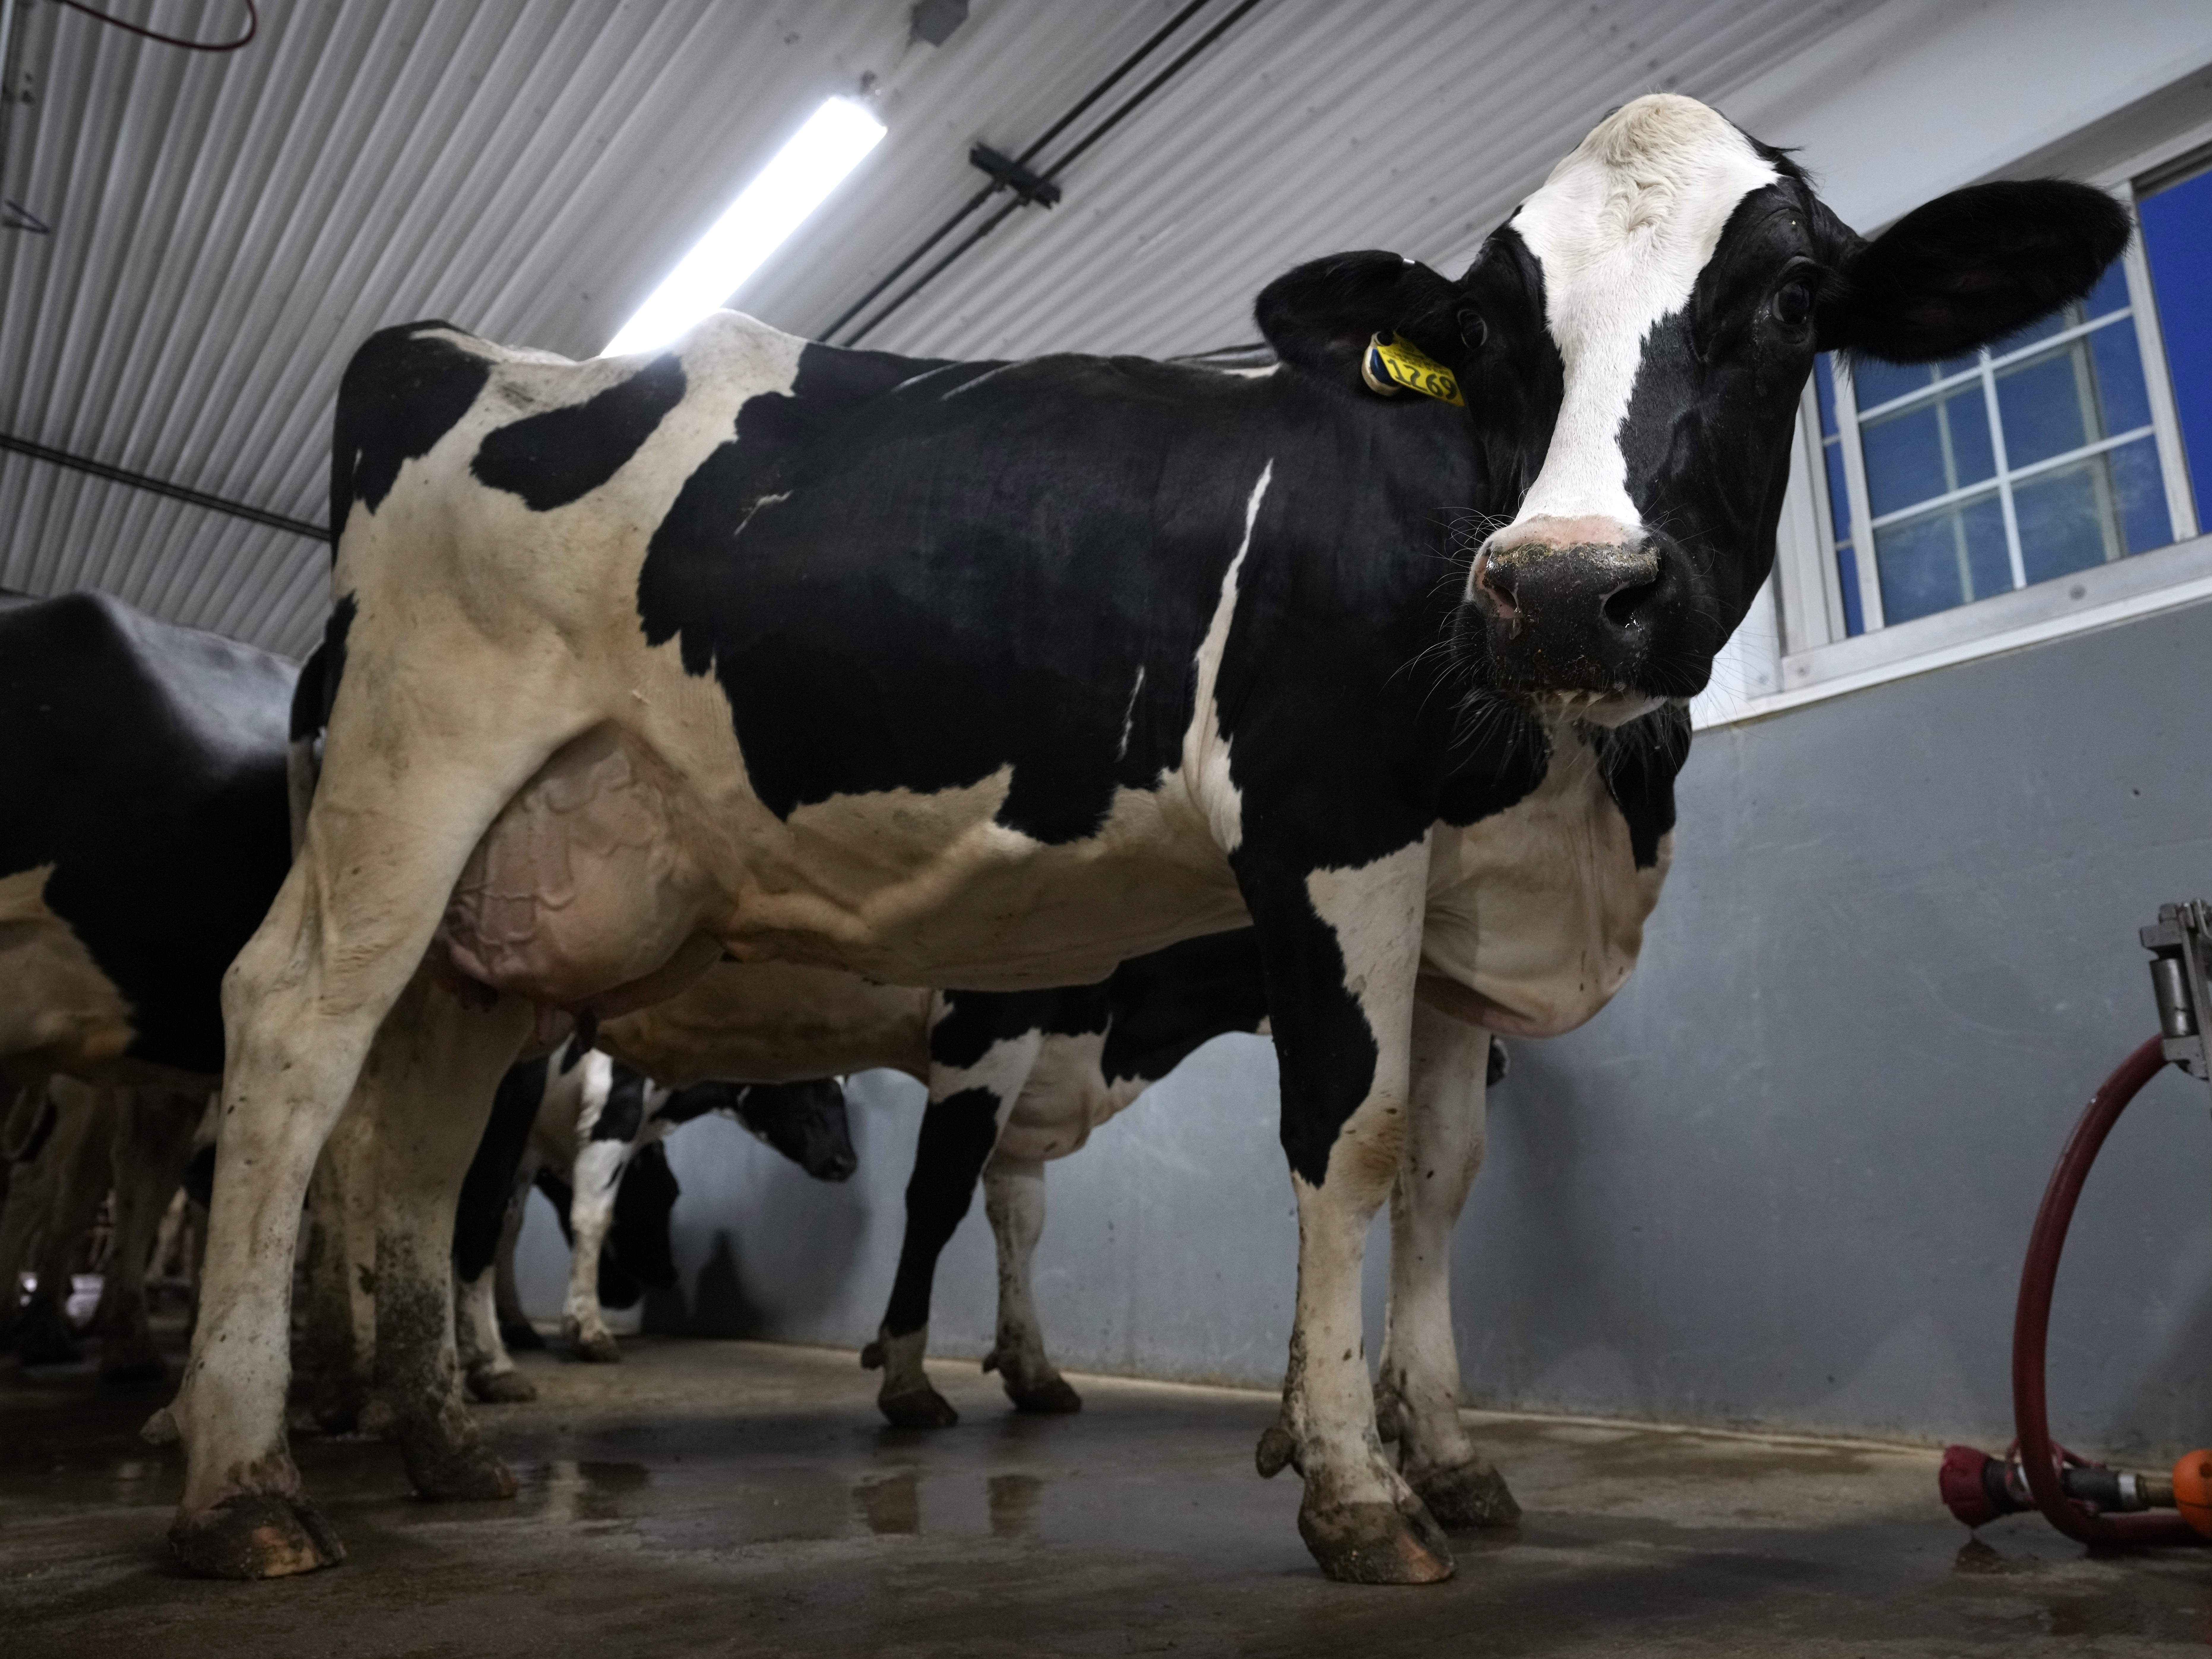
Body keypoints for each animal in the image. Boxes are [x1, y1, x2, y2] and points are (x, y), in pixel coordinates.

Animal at [174, 95, 2129, 1582]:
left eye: (1792, 298)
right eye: (1488, 335)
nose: (1568, 588)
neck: (1578, 804)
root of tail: (447, 352)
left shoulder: (1453, 911)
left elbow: (1439, 1175)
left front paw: (1448, 1457)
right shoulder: (1326, 826)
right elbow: (1343, 1140)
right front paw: (1349, 1487)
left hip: (512, 922)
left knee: (423, 1134)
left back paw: (435, 1436)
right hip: (410, 778)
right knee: (293, 1042)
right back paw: (244, 1477)